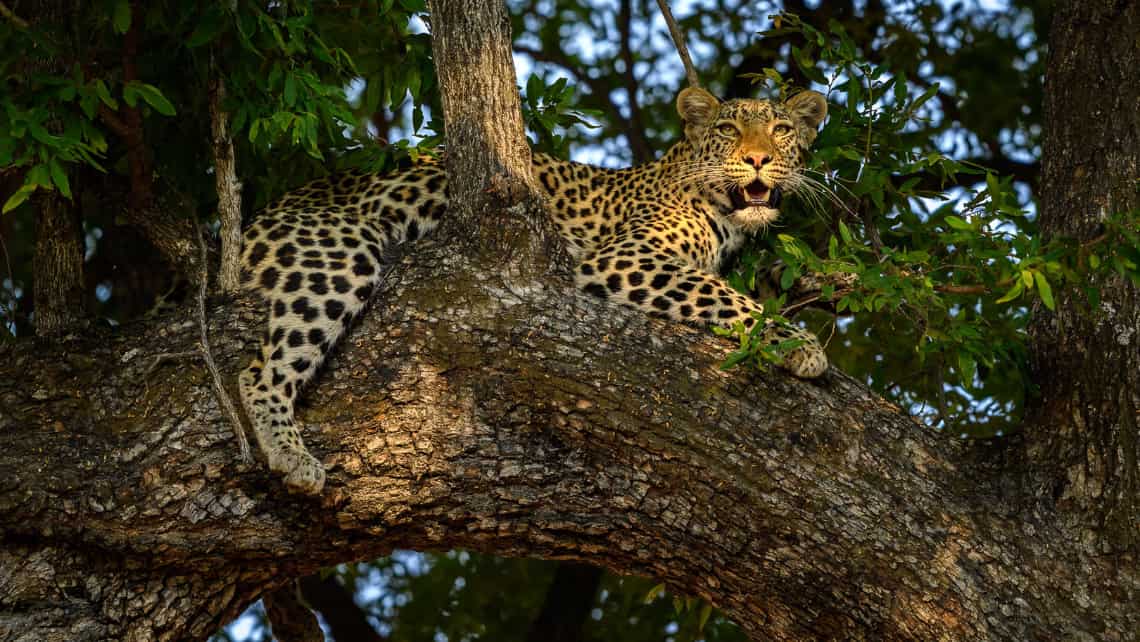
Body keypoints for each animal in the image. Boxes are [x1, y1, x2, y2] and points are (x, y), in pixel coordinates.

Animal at [238, 87, 829, 494]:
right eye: (729, 129)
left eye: (780, 129)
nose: (757, 159)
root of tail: (253, 222)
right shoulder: (624, 258)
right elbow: (726, 295)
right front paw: (803, 346)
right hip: (340, 249)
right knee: (258, 374)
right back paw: (292, 457)